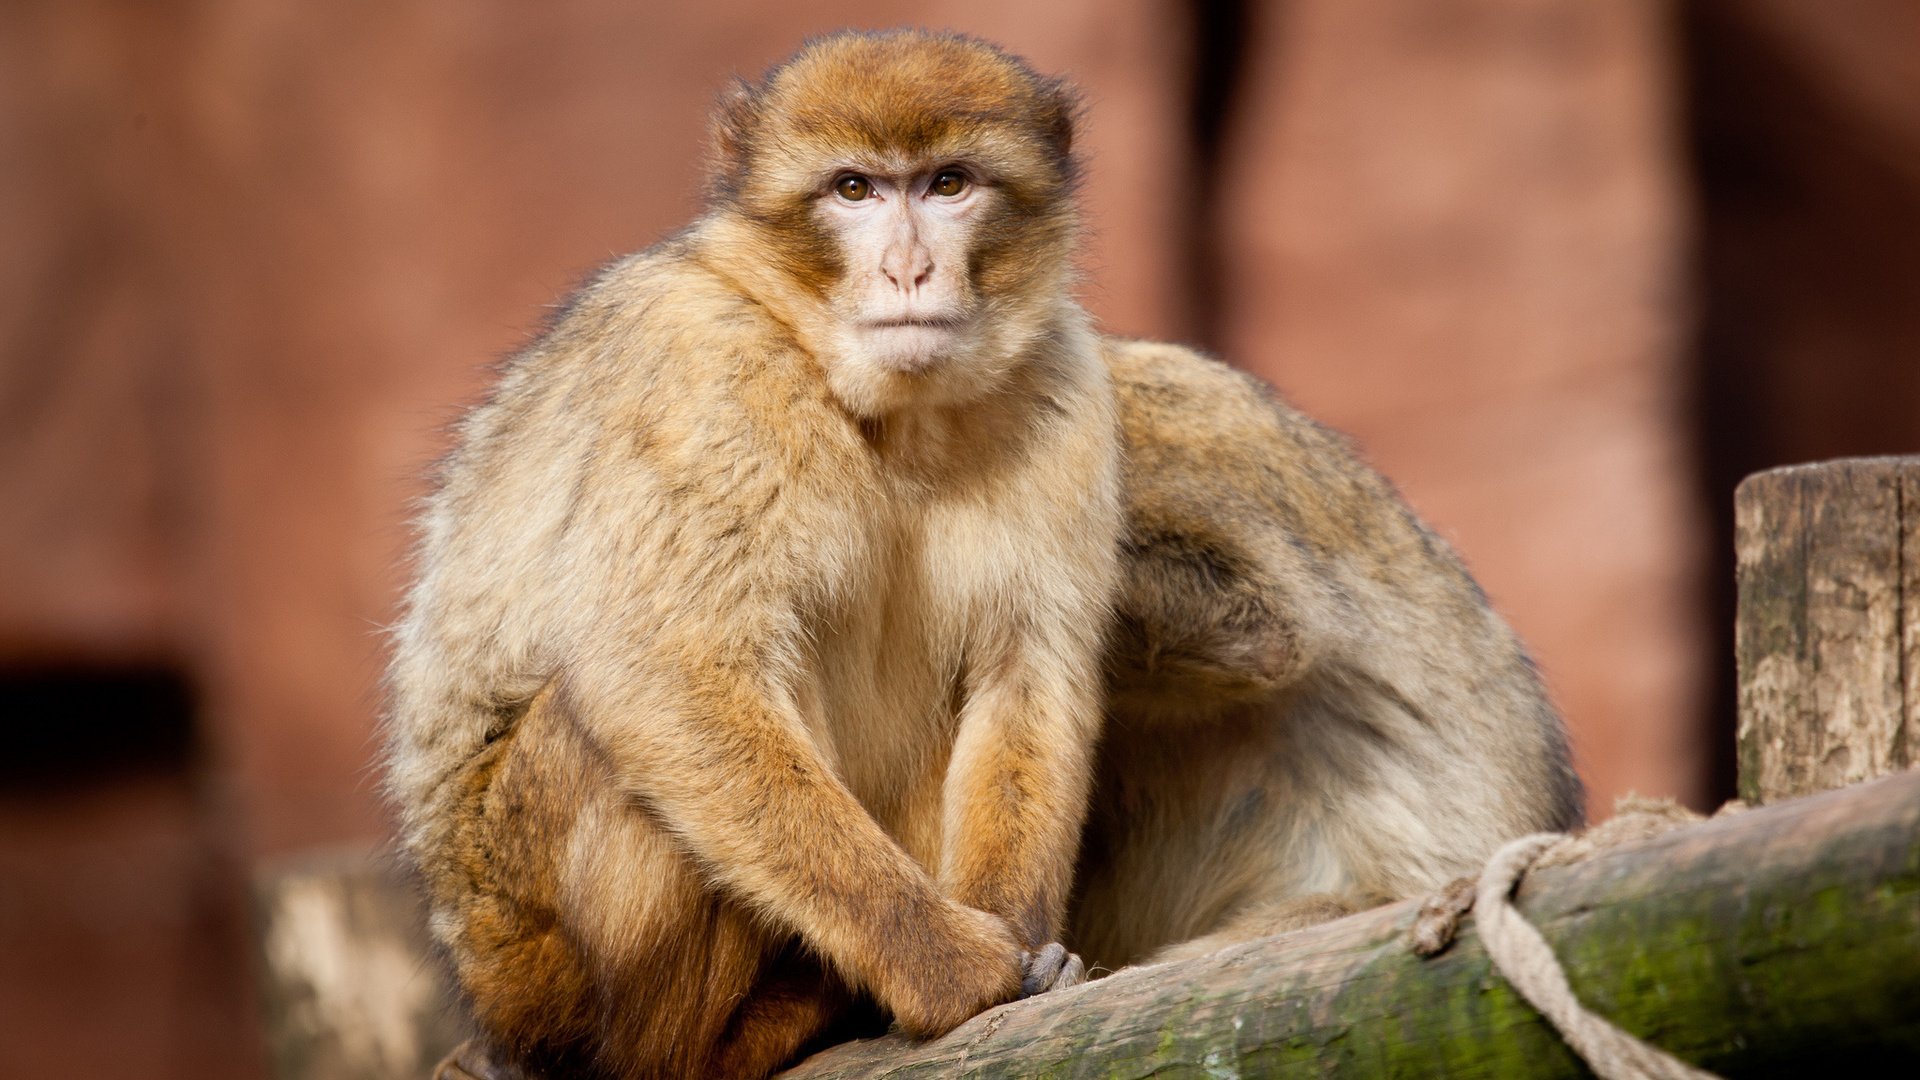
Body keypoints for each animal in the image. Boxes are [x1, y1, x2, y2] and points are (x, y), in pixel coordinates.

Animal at [382, 31, 1121, 1076]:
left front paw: (1029, 951)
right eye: (854, 189)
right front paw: (942, 963)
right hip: (535, 958)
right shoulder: (704, 367)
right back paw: (734, 1035)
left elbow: (1025, 670)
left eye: (948, 184)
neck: (878, 407)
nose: (908, 270)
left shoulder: (1063, 380)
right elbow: (667, 672)